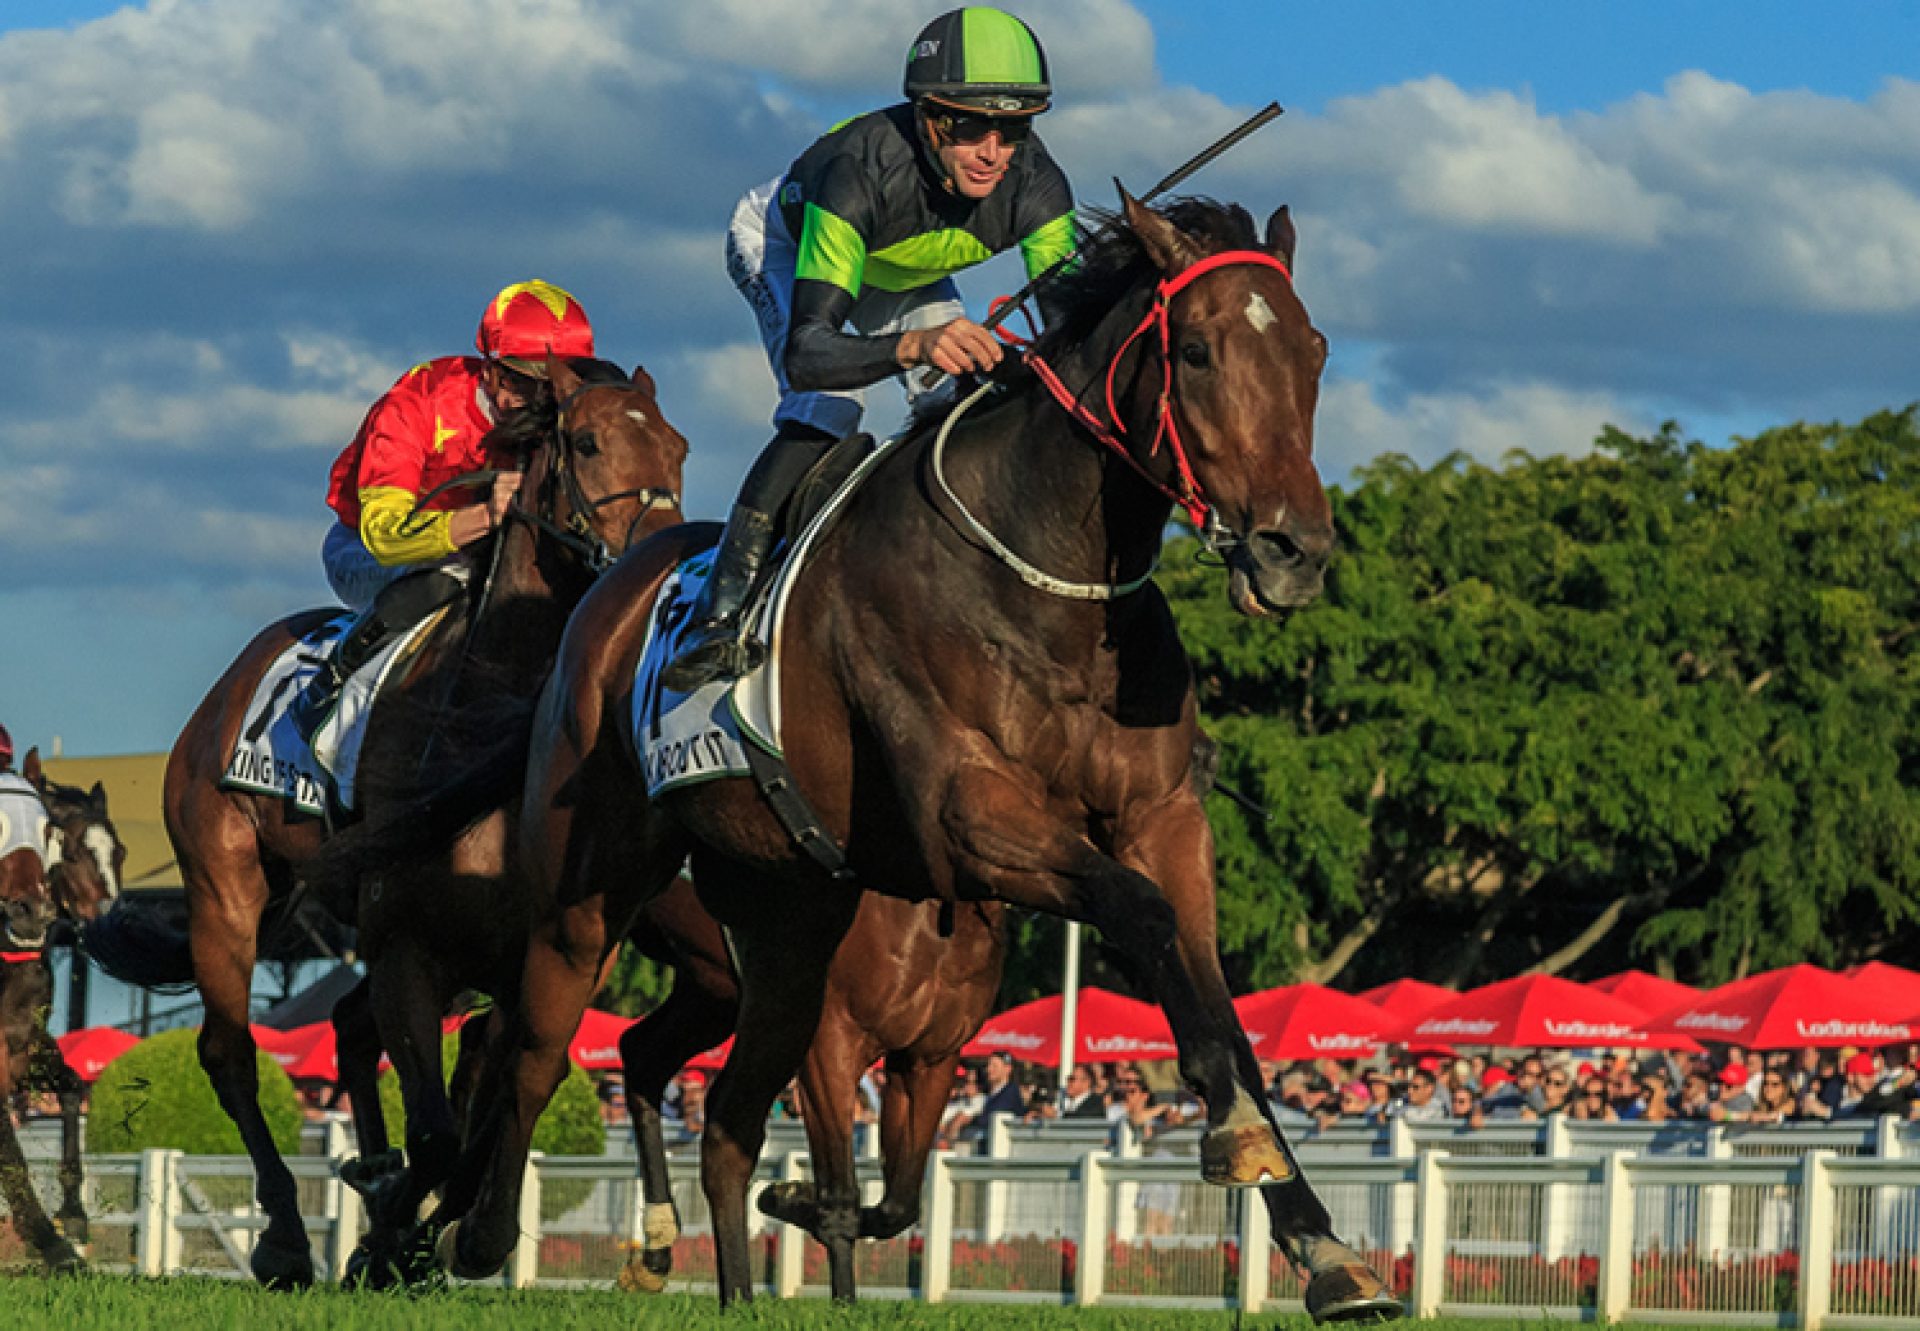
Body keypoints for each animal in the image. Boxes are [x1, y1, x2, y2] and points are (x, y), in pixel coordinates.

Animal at [90, 355, 695, 1290]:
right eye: (591, 440)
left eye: (677, 445)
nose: (659, 557)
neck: (485, 709)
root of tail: (229, 685)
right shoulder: (408, 939)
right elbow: (442, 1129)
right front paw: (390, 1221)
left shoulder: (533, 948)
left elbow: (496, 1083)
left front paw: (418, 1225)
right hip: (225, 886)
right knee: (231, 1053)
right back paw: (287, 1234)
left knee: (351, 1027)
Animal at [432, 196, 1397, 1321]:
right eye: (1196, 349)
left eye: (1314, 351)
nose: (1296, 551)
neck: (1047, 579)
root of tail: (611, 584)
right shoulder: (970, 820)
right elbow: (1147, 920)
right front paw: (1240, 1134)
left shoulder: (1161, 818)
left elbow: (1214, 996)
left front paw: (1323, 1245)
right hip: (586, 884)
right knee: (530, 1045)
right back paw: (476, 1229)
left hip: (788, 925)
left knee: (726, 1113)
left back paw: (730, 1280)